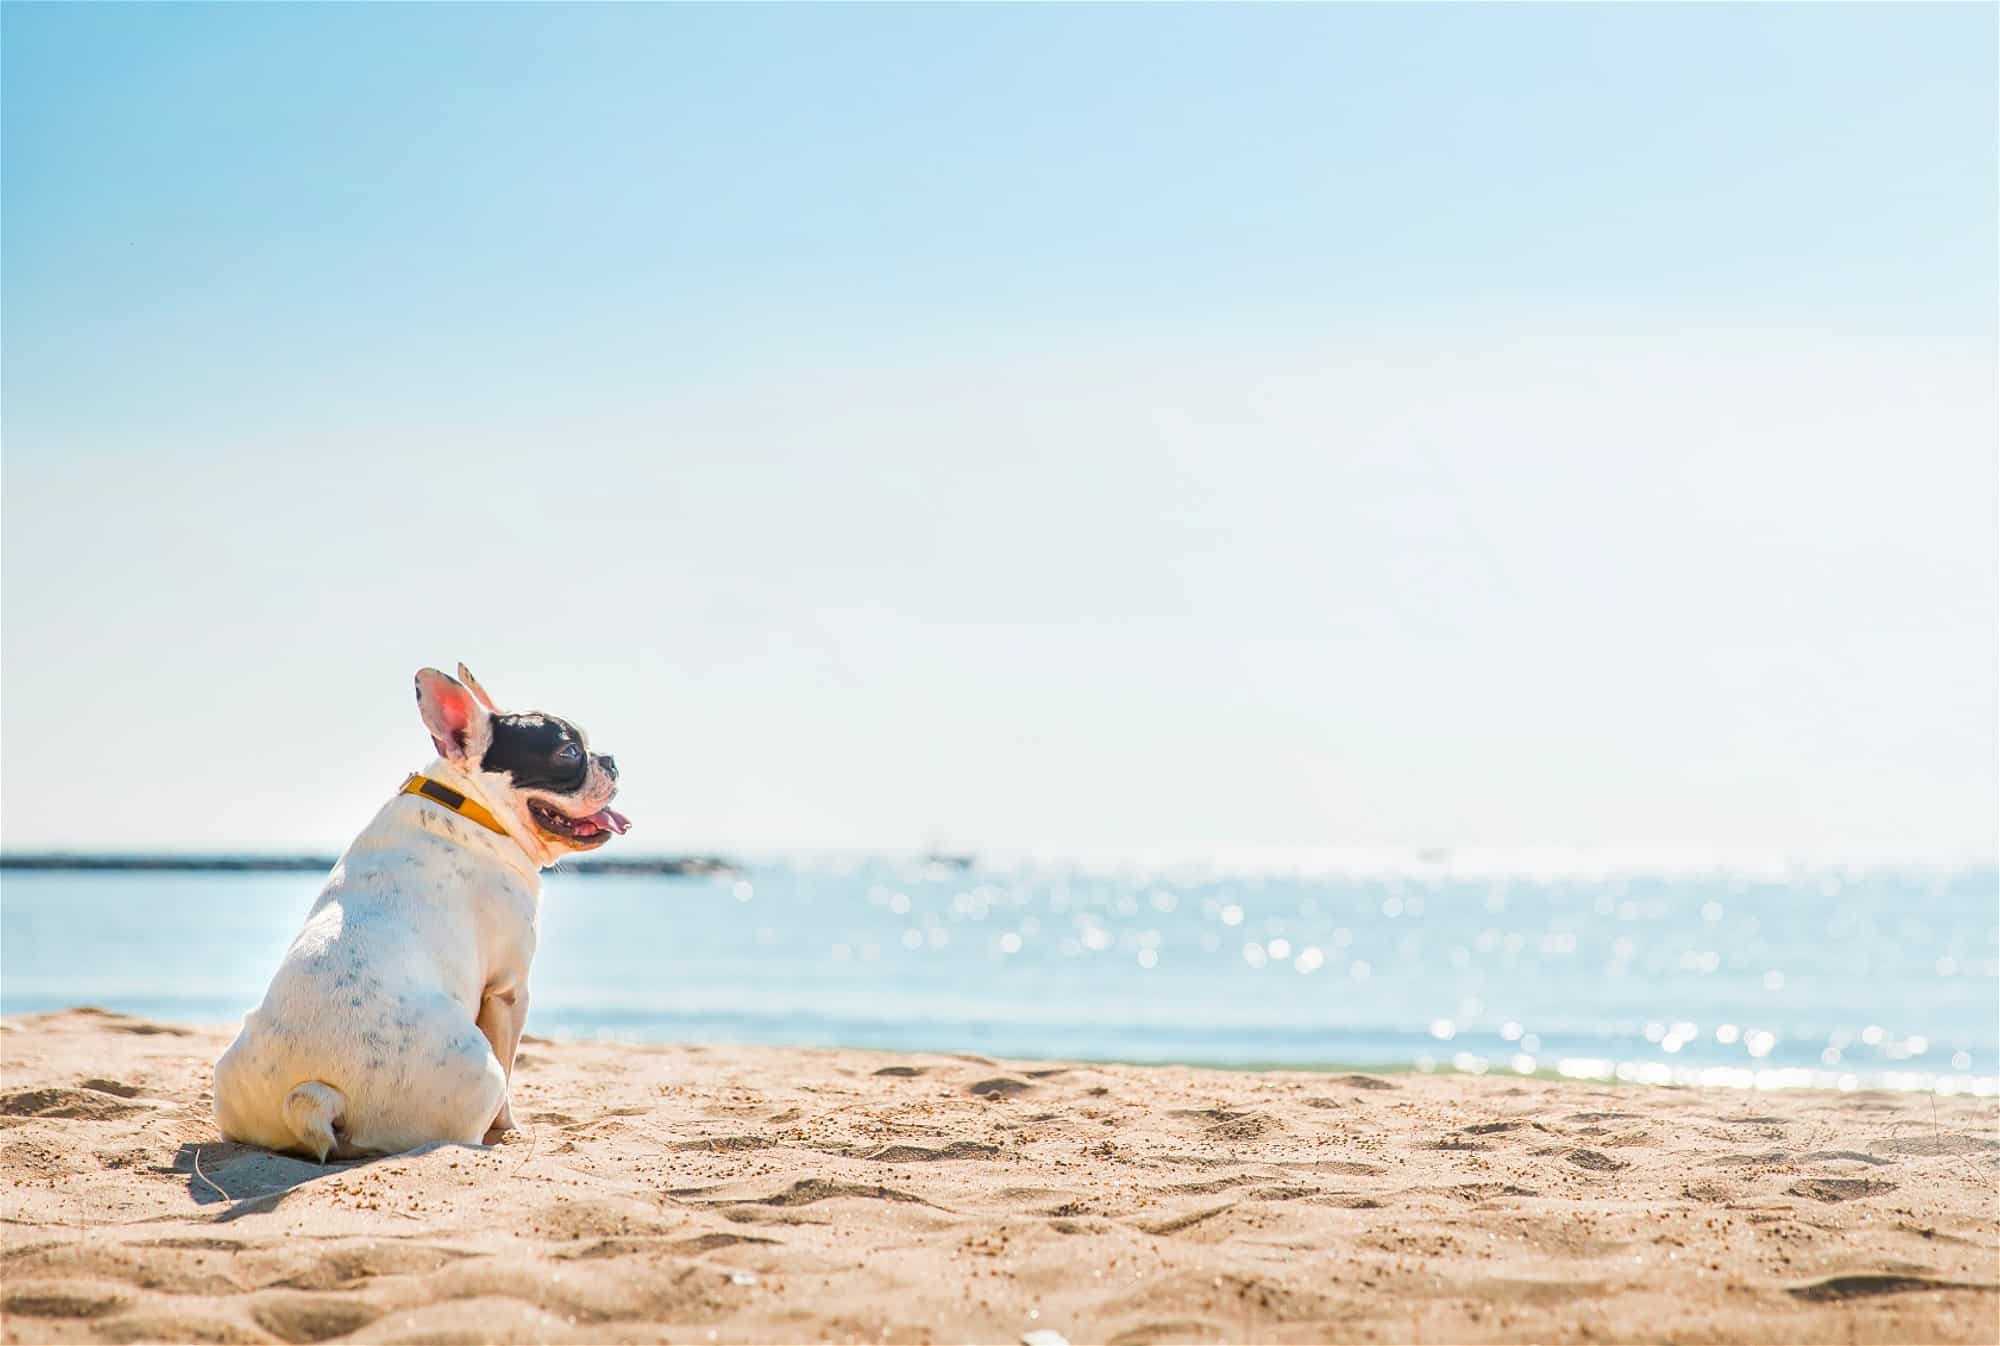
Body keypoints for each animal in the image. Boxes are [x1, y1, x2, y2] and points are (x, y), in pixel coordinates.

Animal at [212, 660, 624, 1152]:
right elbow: (511, 1069)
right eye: (569, 752)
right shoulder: (508, 991)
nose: (611, 760)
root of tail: (315, 1095)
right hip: (478, 1073)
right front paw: (510, 1129)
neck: (471, 806)